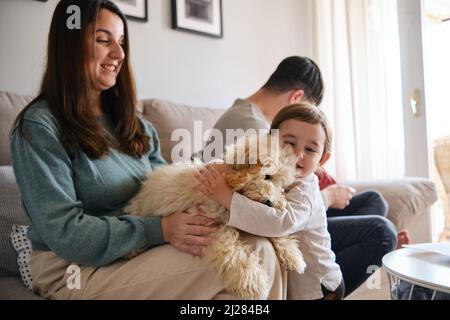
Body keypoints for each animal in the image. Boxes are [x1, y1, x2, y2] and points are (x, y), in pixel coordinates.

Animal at [124, 134, 306, 298]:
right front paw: (253, 281)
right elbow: (233, 253)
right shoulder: (207, 224)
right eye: (267, 176)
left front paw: (292, 254)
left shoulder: (249, 216)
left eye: (284, 187)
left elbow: (266, 224)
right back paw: (133, 249)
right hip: (140, 208)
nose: (270, 203)